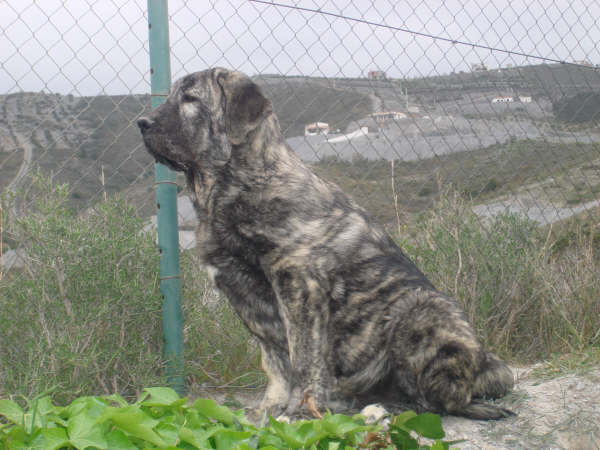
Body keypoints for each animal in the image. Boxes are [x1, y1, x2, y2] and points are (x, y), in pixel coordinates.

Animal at [137, 68, 516, 420]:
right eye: (171, 96)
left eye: (191, 99)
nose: (141, 123)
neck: (236, 186)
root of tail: (483, 362)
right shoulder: (244, 294)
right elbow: (274, 359)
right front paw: (270, 408)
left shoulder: (299, 284)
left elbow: (304, 357)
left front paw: (299, 411)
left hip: (422, 309)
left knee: (445, 400)